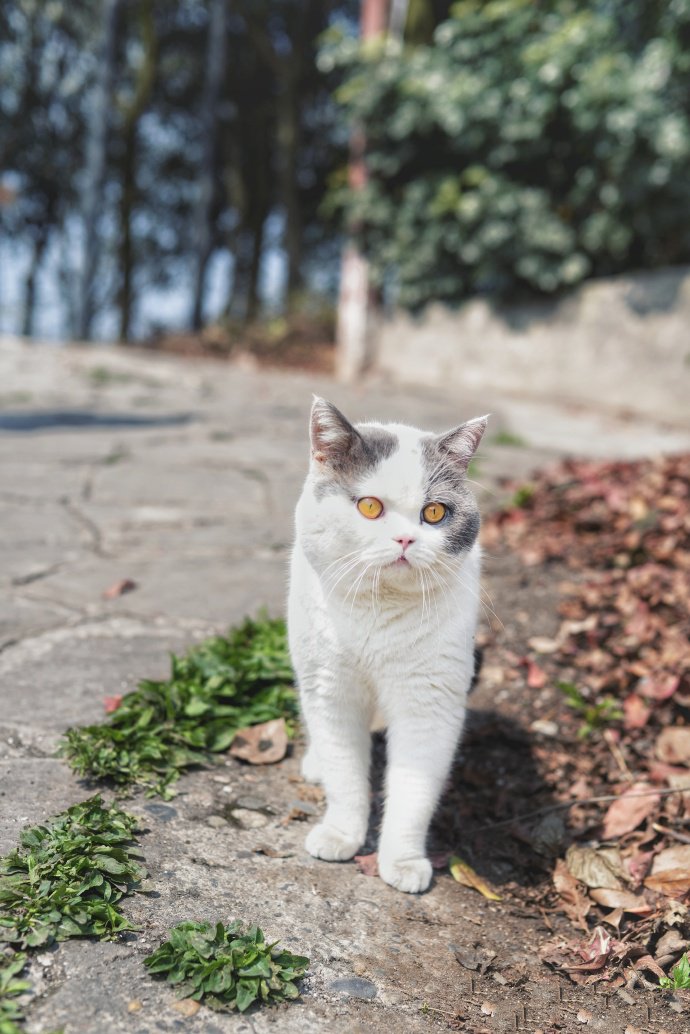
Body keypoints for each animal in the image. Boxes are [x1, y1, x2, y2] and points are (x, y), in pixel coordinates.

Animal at [289, 399, 488, 893]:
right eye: (369, 506)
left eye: (434, 513)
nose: (405, 539)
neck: (378, 614)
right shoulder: (331, 689)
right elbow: (345, 774)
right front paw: (340, 835)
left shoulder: (429, 703)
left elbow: (413, 791)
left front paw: (402, 861)